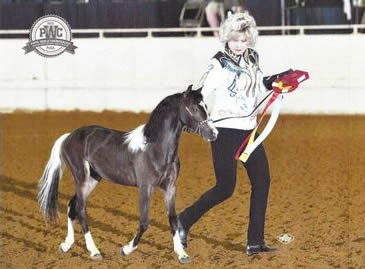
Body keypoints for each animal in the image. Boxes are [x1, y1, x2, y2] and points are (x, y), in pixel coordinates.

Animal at [38, 85, 218, 262]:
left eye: (205, 106)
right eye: (193, 108)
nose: (214, 133)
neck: (155, 148)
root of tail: (68, 136)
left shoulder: (170, 187)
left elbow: (173, 219)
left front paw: (182, 254)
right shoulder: (145, 187)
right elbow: (144, 222)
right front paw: (126, 249)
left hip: (93, 179)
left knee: (72, 206)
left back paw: (66, 245)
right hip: (81, 177)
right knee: (81, 210)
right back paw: (94, 252)